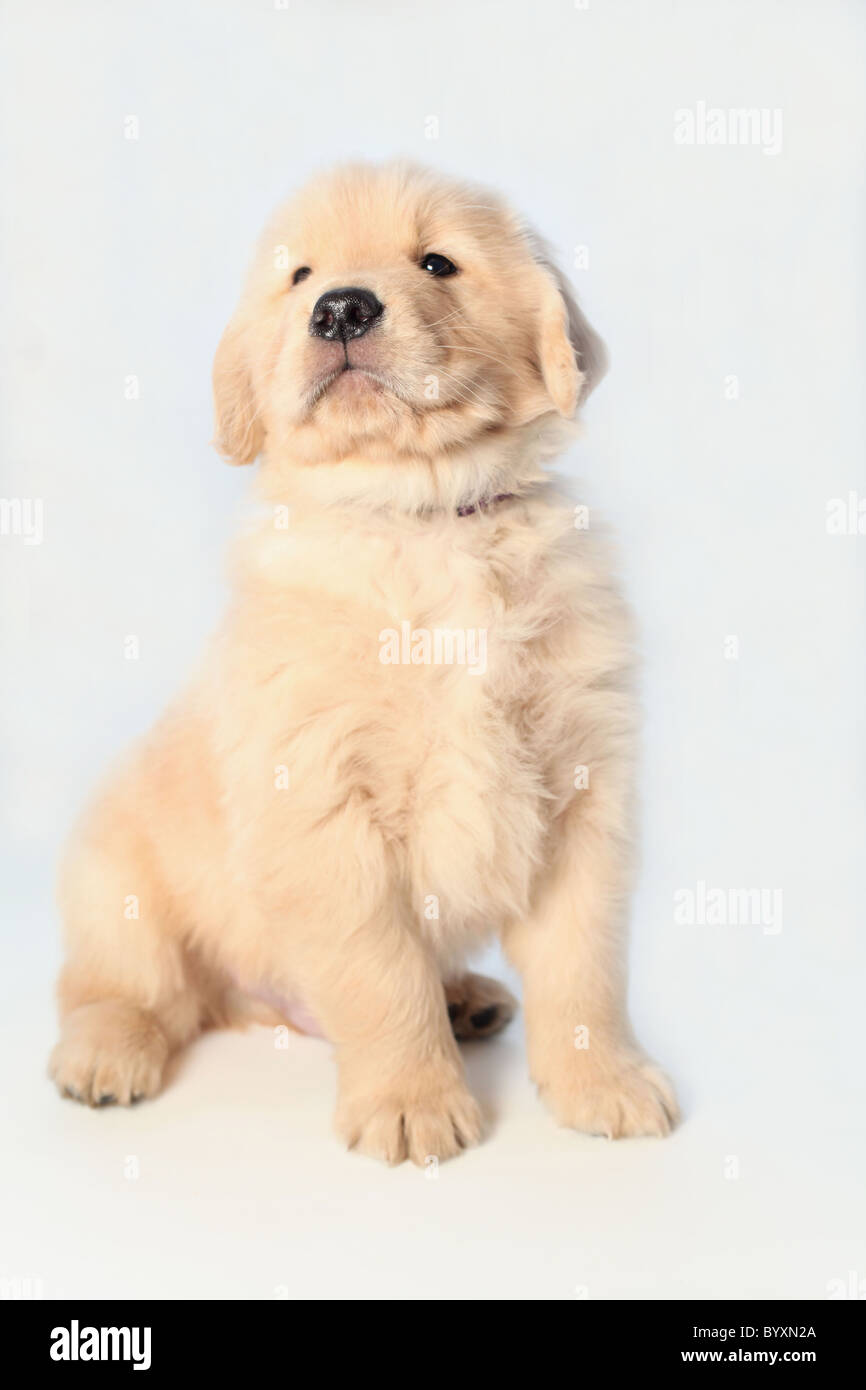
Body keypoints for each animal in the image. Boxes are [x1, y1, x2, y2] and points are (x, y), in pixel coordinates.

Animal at [50, 159, 681, 1162]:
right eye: (300, 276)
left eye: (437, 262)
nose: (341, 309)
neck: (425, 519)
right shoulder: (320, 800)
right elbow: (381, 973)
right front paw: (412, 1101)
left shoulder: (587, 789)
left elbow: (585, 965)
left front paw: (603, 1082)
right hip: (115, 881)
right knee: (114, 985)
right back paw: (107, 1050)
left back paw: (467, 998)